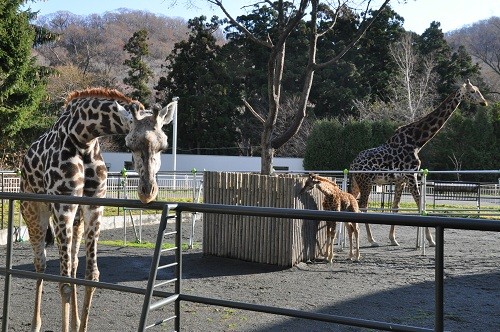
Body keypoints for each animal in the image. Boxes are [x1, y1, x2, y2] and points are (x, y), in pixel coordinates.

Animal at [20, 88, 176, 332]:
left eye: (165, 146)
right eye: (129, 145)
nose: (147, 191)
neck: (83, 137)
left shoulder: (94, 205)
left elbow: (89, 276)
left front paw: (79, 324)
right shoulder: (63, 205)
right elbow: (64, 281)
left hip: (76, 220)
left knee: (73, 264)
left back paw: (74, 322)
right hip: (34, 211)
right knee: (41, 263)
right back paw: (36, 324)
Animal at [350, 80, 486, 246]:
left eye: (478, 90)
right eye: (472, 91)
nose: (484, 102)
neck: (417, 140)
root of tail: (353, 164)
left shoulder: (401, 179)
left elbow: (396, 207)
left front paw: (393, 239)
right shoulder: (411, 174)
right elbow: (420, 204)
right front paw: (431, 240)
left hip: (357, 182)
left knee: (351, 201)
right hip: (366, 182)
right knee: (363, 205)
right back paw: (371, 240)